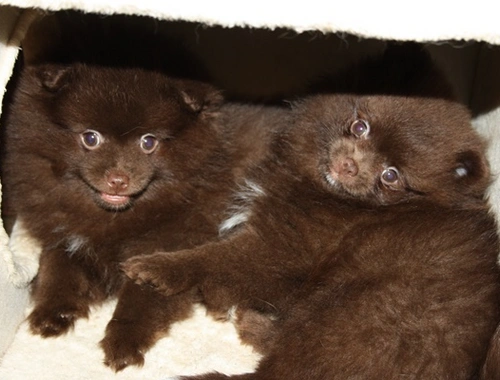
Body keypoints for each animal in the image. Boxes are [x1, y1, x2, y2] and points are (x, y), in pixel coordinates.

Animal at [0, 64, 282, 372]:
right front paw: (51, 314)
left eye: (148, 142)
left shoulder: (164, 245)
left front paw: (123, 341)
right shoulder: (65, 231)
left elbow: (141, 297)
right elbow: (56, 269)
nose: (118, 180)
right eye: (90, 138)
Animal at [122, 88, 500, 378]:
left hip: (345, 306)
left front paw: (154, 267)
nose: (349, 165)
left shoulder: (280, 248)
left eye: (391, 175)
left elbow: (212, 257)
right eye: (360, 126)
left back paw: (249, 321)